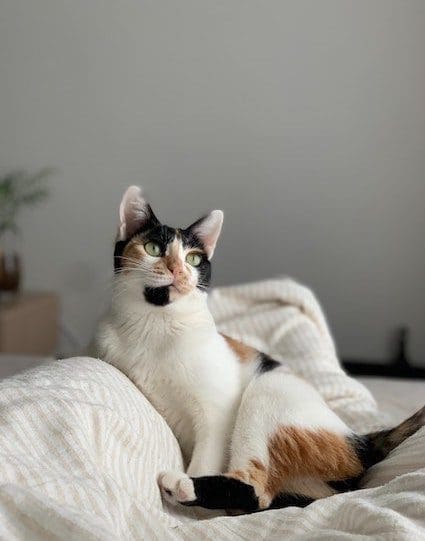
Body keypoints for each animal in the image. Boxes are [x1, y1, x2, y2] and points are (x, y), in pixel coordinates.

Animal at [93, 188, 424, 512]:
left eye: (194, 259)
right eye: (152, 248)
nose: (178, 270)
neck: (155, 326)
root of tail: (358, 440)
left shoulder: (218, 411)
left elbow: (206, 456)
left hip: (267, 391)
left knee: (257, 491)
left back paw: (182, 485)